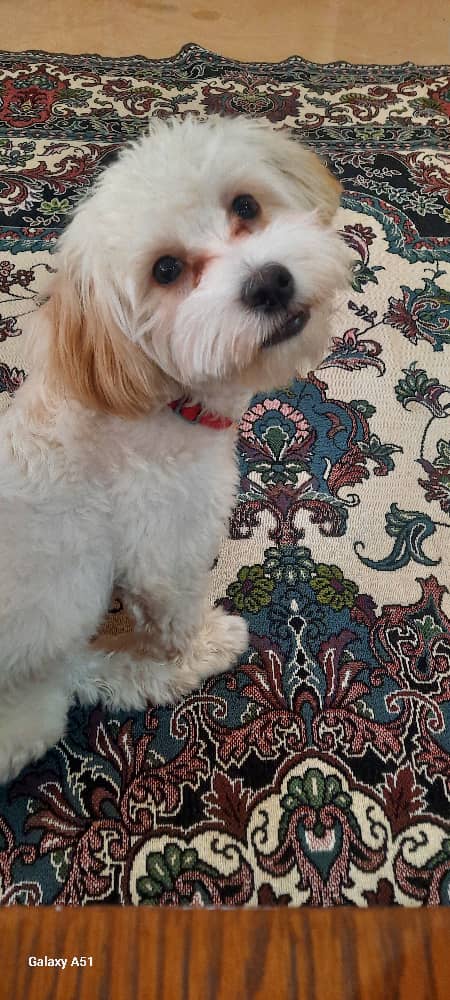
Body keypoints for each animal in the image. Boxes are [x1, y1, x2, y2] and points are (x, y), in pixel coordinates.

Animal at [0, 114, 349, 781]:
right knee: (83, 682)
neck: (161, 403)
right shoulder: (167, 550)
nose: (269, 282)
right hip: (35, 693)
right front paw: (193, 646)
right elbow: (174, 616)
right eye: (165, 270)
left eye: (246, 206)